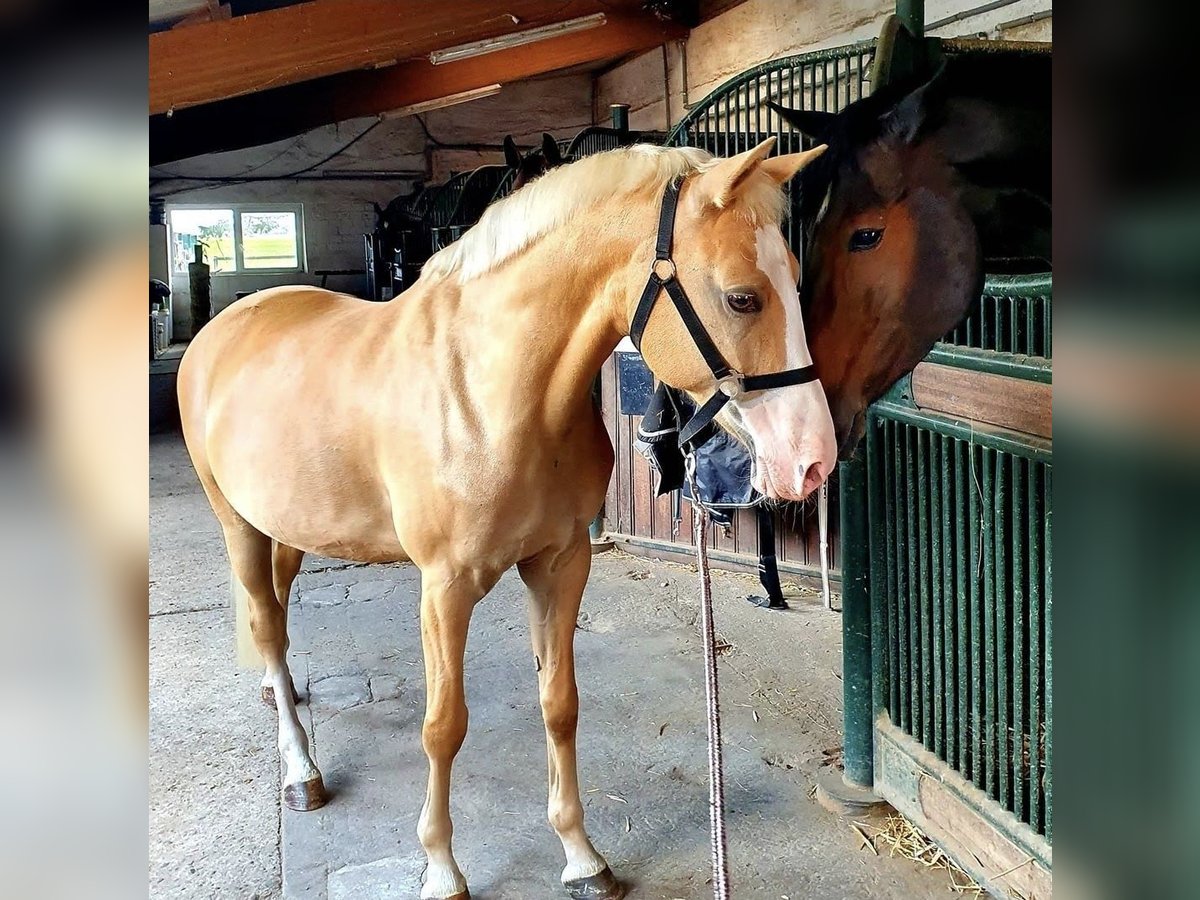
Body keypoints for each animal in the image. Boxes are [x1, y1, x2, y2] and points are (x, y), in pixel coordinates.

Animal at [177, 141, 835, 900]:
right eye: (741, 297)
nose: (814, 461)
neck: (487, 394)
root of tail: (231, 322)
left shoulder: (559, 564)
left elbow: (560, 703)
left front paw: (581, 856)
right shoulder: (445, 587)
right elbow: (443, 726)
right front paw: (440, 868)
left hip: (284, 524)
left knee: (278, 621)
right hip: (235, 523)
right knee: (266, 625)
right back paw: (301, 772)